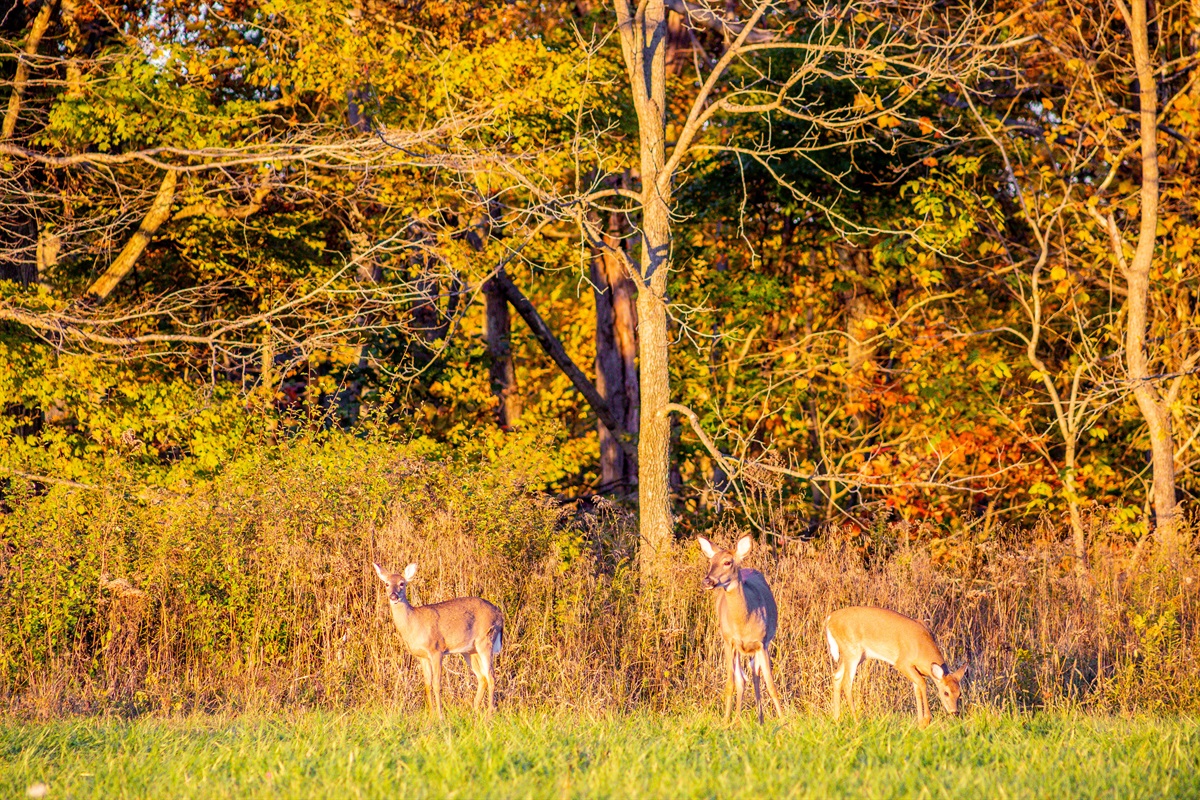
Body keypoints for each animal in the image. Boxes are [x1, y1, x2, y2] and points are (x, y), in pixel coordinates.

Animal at [372, 562, 504, 719]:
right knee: (482, 677)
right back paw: (475, 710)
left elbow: (437, 684)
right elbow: (427, 684)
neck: (414, 624)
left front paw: (440, 716)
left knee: (491, 676)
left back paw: (489, 715)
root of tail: (500, 615)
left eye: (402, 583)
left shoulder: (436, 650)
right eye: (386, 583)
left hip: (486, 640)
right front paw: (430, 716)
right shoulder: (422, 656)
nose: (393, 596)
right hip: (470, 650)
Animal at [698, 535, 784, 723]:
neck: (743, 623)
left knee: (755, 676)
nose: (707, 580)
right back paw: (737, 720)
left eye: (727, 562)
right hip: (735, 646)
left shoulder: (762, 642)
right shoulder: (729, 641)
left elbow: (771, 685)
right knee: (741, 679)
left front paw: (785, 720)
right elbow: (731, 683)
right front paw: (725, 722)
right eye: (711, 561)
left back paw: (760, 720)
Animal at [824, 606, 967, 728]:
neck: (921, 648)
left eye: (960, 693)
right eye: (946, 692)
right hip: (852, 651)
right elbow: (922, 683)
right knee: (847, 683)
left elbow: (917, 689)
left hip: (853, 655)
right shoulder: (902, 663)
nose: (954, 711)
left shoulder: (914, 669)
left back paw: (837, 720)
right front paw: (926, 720)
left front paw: (920, 723)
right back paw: (857, 721)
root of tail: (829, 619)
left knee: (836, 677)